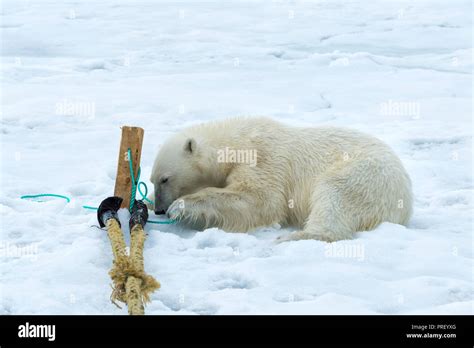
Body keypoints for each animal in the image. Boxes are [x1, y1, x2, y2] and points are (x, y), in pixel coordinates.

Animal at [150, 117, 412, 242]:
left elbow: (261, 200)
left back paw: (294, 236)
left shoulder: (263, 158)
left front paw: (181, 206)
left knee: (335, 195)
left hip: (364, 175)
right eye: (152, 180)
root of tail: (405, 201)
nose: (161, 209)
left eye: (165, 179)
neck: (235, 142)